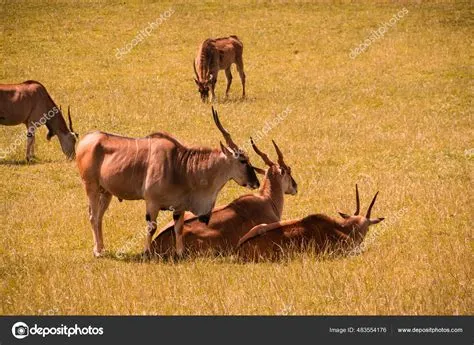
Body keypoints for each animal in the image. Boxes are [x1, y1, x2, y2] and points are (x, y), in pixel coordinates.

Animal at [76, 106, 260, 256]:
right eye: (242, 160)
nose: (256, 183)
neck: (181, 167)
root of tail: (85, 140)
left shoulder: (179, 207)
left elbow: (179, 229)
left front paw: (180, 254)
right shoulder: (152, 202)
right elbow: (151, 228)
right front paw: (146, 253)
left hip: (106, 192)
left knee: (99, 217)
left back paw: (101, 248)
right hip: (91, 187)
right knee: (93, 216)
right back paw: (97, 252)